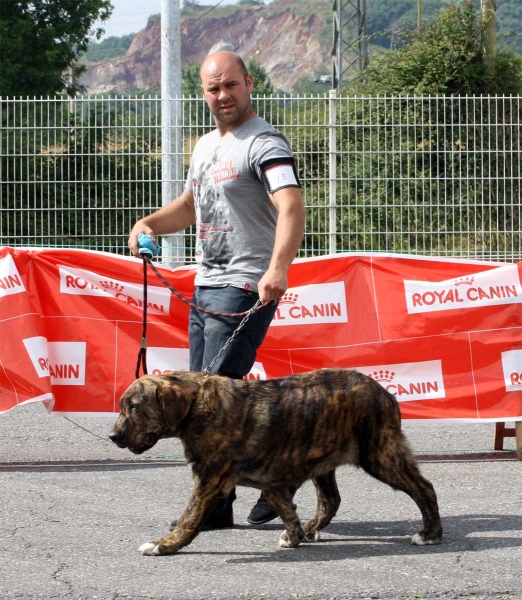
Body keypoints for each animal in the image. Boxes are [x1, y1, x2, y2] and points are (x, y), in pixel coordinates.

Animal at [108, 368, 438, 556]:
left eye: (134, 407)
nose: (113, 436)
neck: (198, 404)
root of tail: (385, 394)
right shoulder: (274, 478)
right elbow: (284, 507)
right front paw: (294, 536)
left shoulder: (209, 478)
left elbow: (189, 516)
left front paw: (165, 544)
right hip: (323, 457)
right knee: (331, 500)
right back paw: (311, 528)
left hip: (380, 454)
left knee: (424, 488)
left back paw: (431, 534)